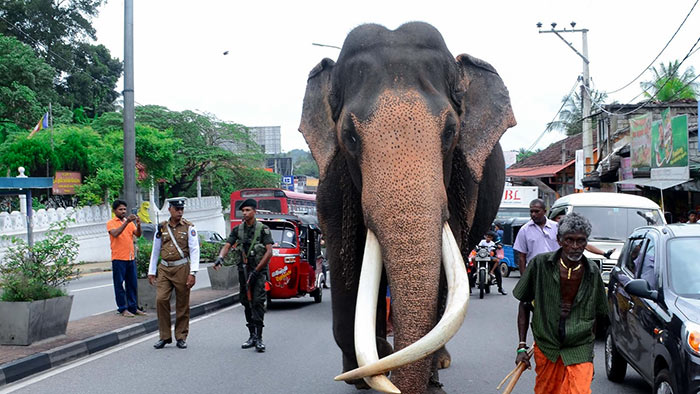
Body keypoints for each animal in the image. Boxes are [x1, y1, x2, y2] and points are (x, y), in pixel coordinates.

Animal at [298, 22, 516, 394]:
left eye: (451, 131)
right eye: (349, 136)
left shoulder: (460, 184)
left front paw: (426, 379)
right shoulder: (330, 181)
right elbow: (343, 260)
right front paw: (360, 376)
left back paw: (438, 363)